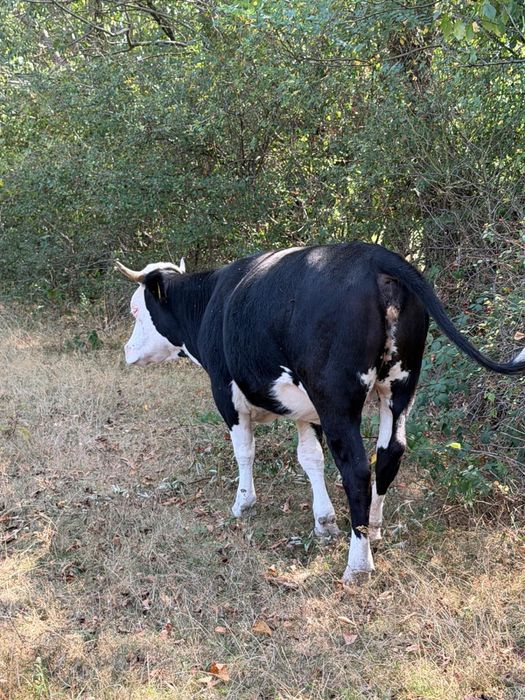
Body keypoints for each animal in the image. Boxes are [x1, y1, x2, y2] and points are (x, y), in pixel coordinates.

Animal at [116, 242, 525, 583]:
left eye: (136, 310)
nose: (126, 350)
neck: (211, 301)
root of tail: (375, 255)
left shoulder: (226, 392)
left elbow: (244, 450)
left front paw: (243, 502)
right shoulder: (305, 409)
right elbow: (310, 458)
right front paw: (324, 520)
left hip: (337, 399)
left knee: (357, 469)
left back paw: (358, 565)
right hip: (400, 383)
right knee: (390, 452)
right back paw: (375, 527)